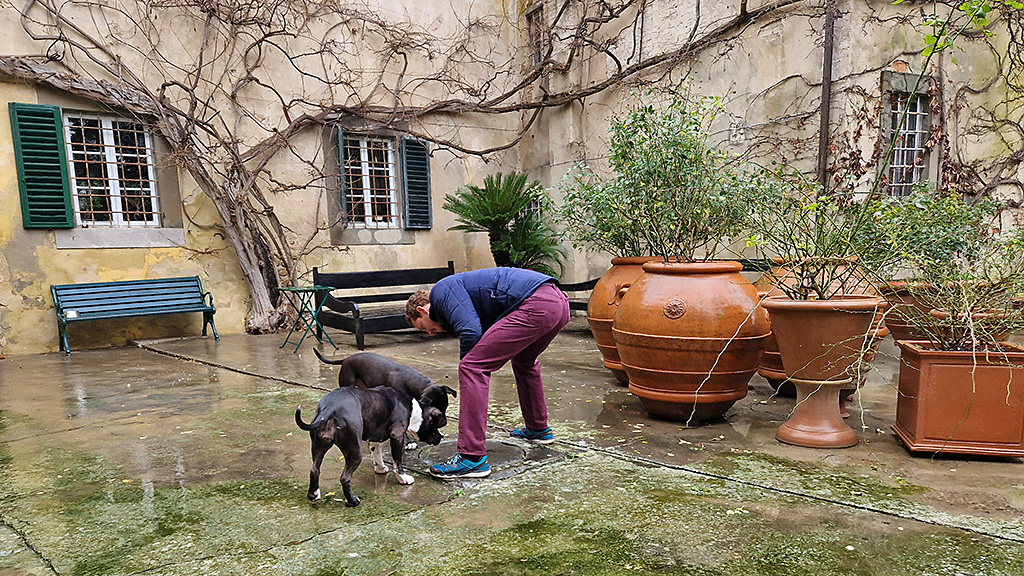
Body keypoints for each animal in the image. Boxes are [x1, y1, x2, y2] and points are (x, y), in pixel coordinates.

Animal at [292, 383, 444, 504]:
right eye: (435, 425)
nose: (441, 437)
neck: (414, 410)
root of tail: (329, 408)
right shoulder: (397, 436)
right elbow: (397, 462)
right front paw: (403, 478)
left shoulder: (375, 438)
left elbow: (377, 455)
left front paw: (380, 469)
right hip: (354, 452)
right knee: (345, 478)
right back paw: (352, 501)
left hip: (319, 446)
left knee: (314, 470)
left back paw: (313, 495)